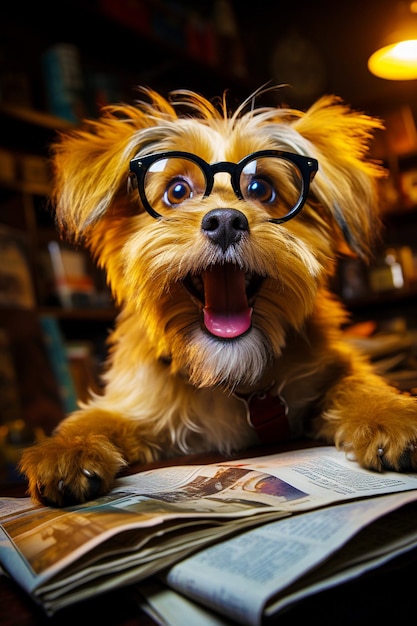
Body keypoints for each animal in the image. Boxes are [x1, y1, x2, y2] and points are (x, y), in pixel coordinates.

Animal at [19, 84, 416, 502]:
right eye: (177, 190)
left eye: (260, 188)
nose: (225, 220)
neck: (228, 373)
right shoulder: (135, 403)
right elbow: (96, 417)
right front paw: (67, 449)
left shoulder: (331, 372)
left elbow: (357, 384)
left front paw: (392, 415)